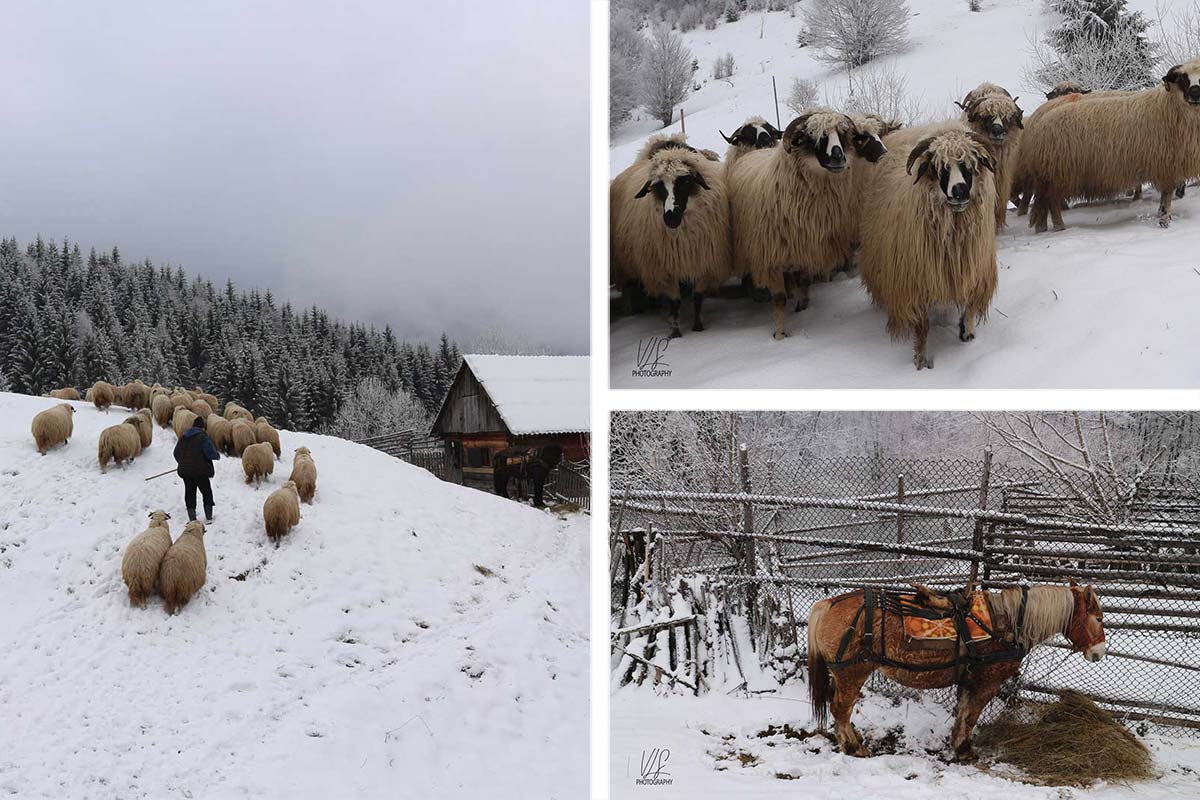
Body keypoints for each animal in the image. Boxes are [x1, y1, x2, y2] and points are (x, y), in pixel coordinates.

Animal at [609, 136, 729, 335]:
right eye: (657, 187)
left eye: (685, 182)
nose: (670, 218)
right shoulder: (664, 268)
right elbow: (675, 301)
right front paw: (675, 332)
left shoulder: (703, 261)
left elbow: (697, 296)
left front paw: (698, 327)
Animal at [724, 107, 859, 335]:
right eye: (813, 136)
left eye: (841, 135)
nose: (838, 157)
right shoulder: (771, 257)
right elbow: (778, 299)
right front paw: (780, 334)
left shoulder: (805, 248)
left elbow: (804, 283)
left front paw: (802, 310)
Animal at [806, 585, 1104, 762]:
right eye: (1099, 618)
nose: (1099, 652)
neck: (1006, 624)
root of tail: (828, 604)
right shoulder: (987, 682)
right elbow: (971, 716)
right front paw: (965, 749)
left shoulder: (969, 681)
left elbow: (962, 711)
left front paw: (956, 744)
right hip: (852, 673)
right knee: (840, 709)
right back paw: (853, 747)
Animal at [859, 123, 998, 371]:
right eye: (939, 167)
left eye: (969, 165)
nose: (959, 190)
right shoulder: (916, 281)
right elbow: (922, 327)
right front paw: (921, 361)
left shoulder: (975, 269)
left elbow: (970, 305)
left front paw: (967, 334)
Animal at [1017, 59, 1200, 231]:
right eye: (1182, 78)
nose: (1195, 92)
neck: (1169, 107)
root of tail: (1041, 125)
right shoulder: (1166, 164)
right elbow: (1166, 198)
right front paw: (1163, 220)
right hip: (1058, 172)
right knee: (1052, 203)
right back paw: (1059, 226)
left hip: (1051, 174)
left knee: (1045, 203)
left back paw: (1042, 227)